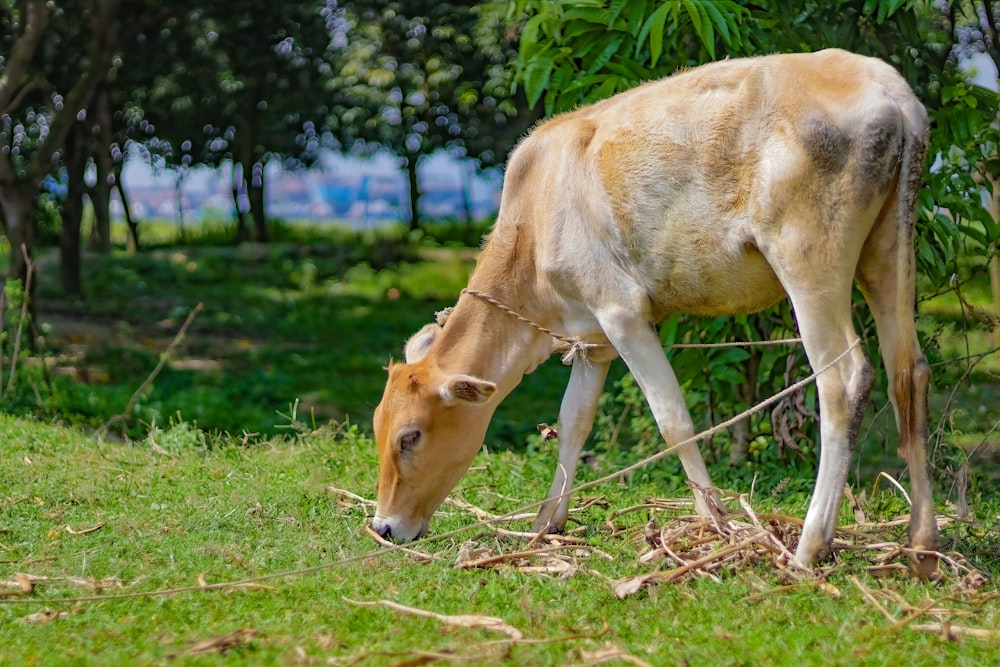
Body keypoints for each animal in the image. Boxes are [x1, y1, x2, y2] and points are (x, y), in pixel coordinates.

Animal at [372, 49, 940, 576]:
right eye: (379, 426)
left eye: (411, 436)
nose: (383, 527)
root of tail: (888, 87)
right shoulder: (593, 339)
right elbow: (573, 422)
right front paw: (547, 523)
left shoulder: (620, 312)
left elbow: (673, 419)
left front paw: (716, 523)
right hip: (889, 252)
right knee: (908, 374)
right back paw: (922, 546)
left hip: (808, 259)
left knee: (843, 380)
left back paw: (808, 547)